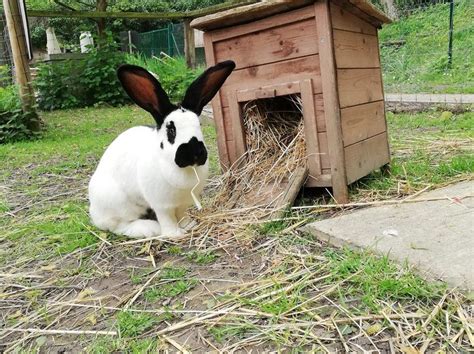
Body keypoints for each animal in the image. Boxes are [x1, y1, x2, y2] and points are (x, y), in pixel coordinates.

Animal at [88, 60, 236, 238]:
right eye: (171, 129)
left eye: (199, 125)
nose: (195, 152)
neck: (184, 170)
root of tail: (94, 211)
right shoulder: (162, 205)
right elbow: (168, 218)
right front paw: (174, 234)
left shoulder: (183, 203)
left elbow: (182, 215)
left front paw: (189, 225)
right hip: (119, 204)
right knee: (119, 225)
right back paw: (149, 228)